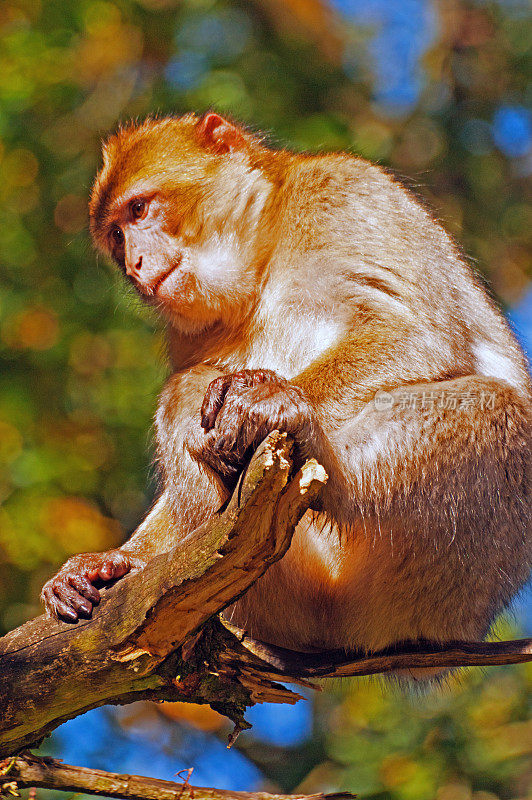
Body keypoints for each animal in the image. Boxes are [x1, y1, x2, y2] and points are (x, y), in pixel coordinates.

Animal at [41, 111, 532, 656]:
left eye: (140, 208)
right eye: (117, 237)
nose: (135, 264)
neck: (263, 252)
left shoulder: (346, 190)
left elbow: (412, 330)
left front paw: (270, 399)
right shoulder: (186, 332)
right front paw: (118, 562)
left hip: (446, 579)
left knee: (496, 407)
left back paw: (316, 451)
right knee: (186, 392)